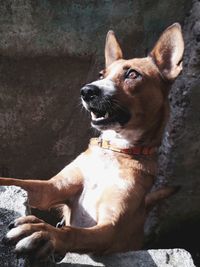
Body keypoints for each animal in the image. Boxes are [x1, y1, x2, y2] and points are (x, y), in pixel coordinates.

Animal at [0, 23, 184, 262]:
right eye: (101, 75)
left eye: (132, 74)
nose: (87, 91)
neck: (115, 152)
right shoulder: (52, 188)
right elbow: (18, 181)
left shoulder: (109, 228)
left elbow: (72, 232)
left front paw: (43, 232)